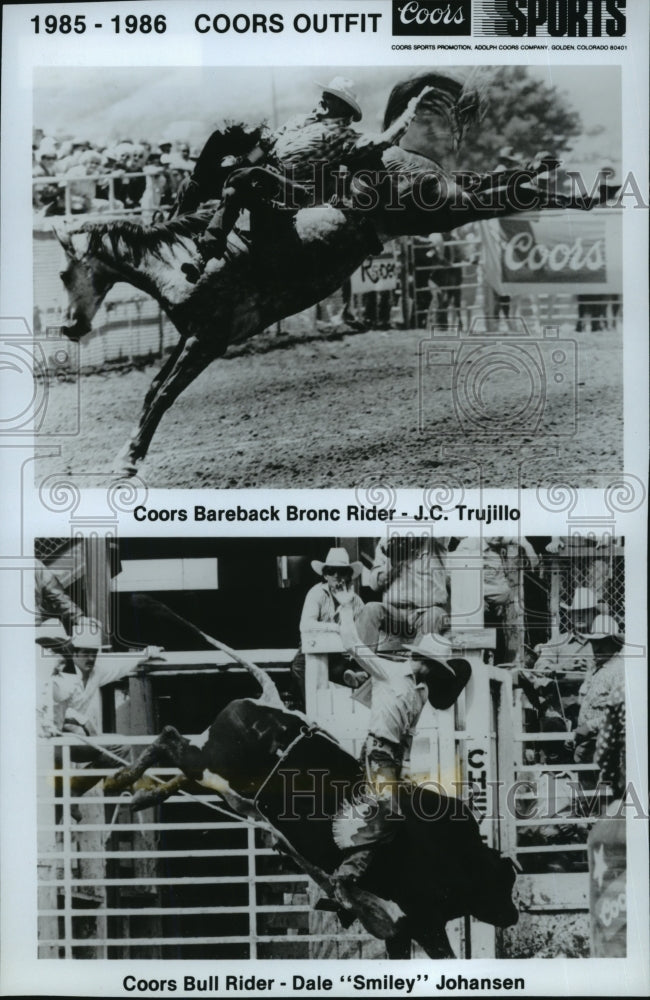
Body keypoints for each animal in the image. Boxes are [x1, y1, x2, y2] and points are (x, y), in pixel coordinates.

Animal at [53, 72, 616, 474]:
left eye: (61, 275)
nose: (68, 326)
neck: (174, 263)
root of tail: (396, 157)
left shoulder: (210, 337)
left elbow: (165, 393)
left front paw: (129, 459)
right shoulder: (189, 335)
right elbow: (153, 389)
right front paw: (129, 455)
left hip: (438, 209)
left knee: (504, 196)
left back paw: (583, 190)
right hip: (441, 207)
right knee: (498, 188)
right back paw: (560, 176)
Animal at [102, 636, 516, 956]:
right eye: (501, 882)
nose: (512, 915)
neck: (452, 851)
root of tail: (270, 704)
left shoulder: (398, 929)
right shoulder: (423, 922)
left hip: (218, 777)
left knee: (179, 767)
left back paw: (137, 796)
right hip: (211, 764)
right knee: (169, 737)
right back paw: (119, 780)